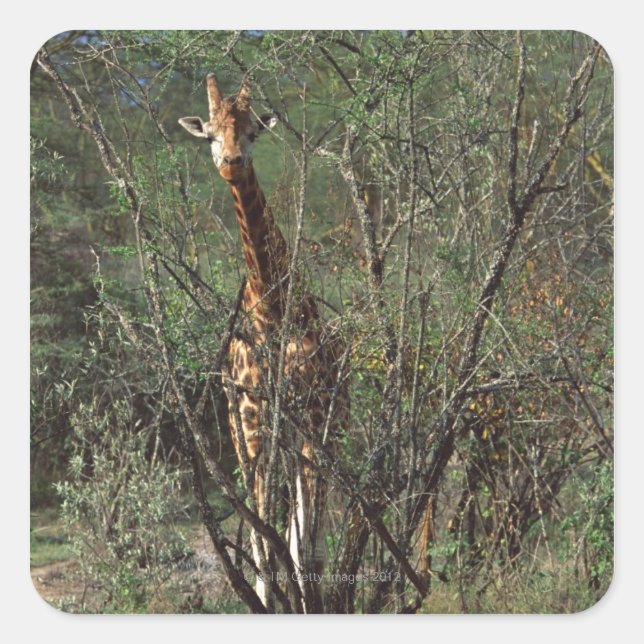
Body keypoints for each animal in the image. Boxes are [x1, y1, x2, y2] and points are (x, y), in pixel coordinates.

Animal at [179, 74, 347, 612]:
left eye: (253, 130)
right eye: (211, 134)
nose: (232, 162)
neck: (272, 310)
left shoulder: (313, 421)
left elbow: (307, 549)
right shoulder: (253, 427)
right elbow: (265, 543)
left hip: (316, 434)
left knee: (303, 536)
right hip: (251, 437)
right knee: (271, 536)